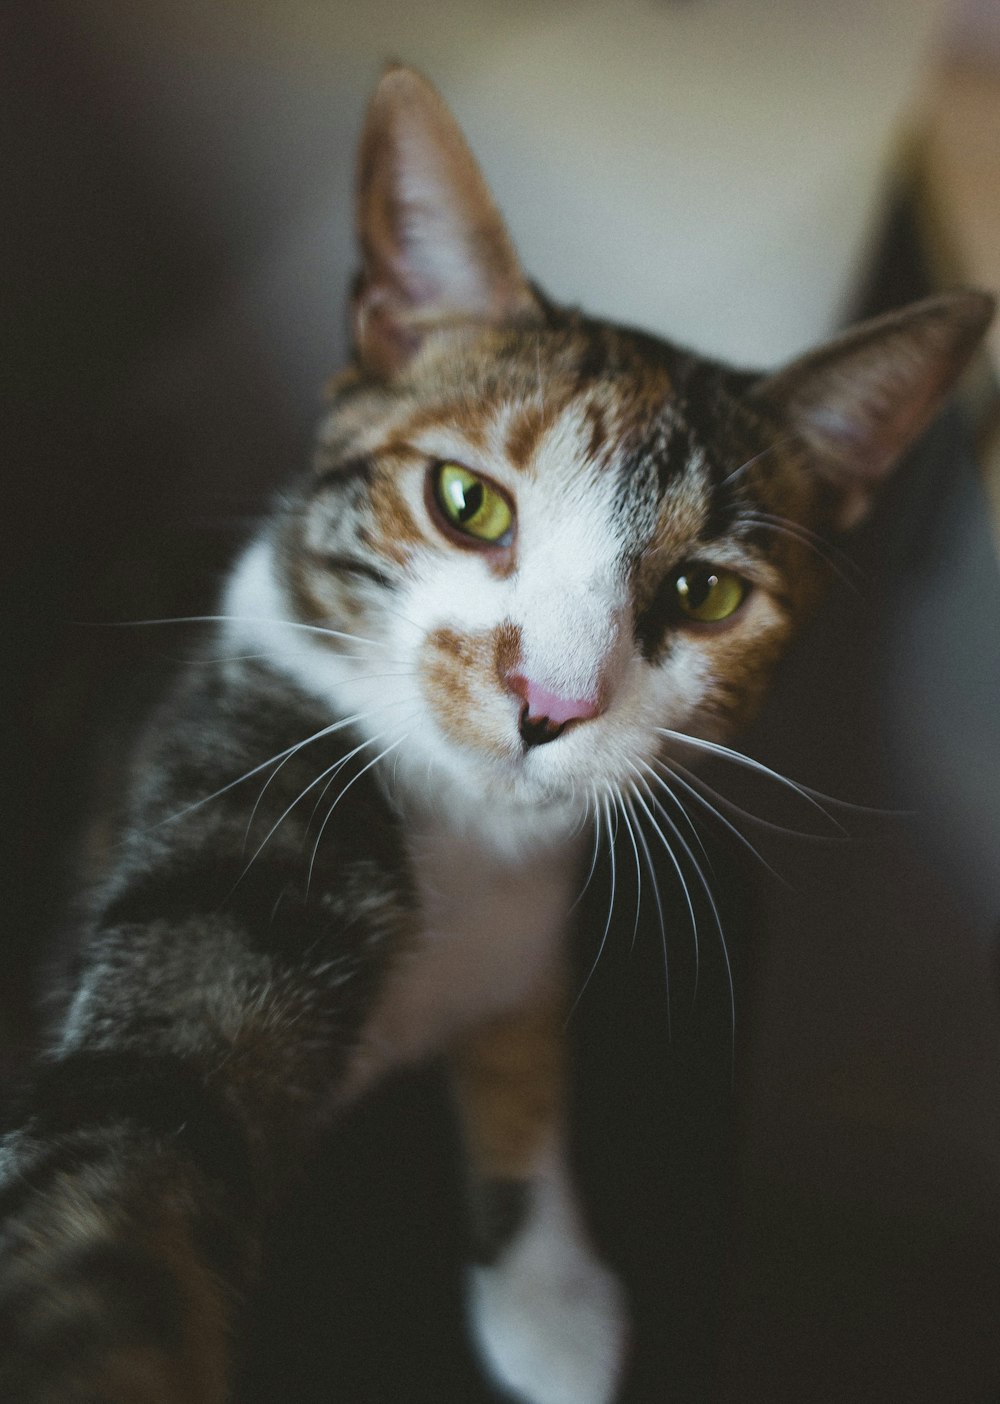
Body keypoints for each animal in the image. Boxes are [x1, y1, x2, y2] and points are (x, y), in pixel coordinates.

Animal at [0, 63, 994, 1404]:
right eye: (466, 503)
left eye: (704, 594)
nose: (550, 707)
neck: (469, 834)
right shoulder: (240, 776)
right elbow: (139, 1122)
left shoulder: (534, 918)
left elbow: (528, 1042)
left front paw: (549, 1288)